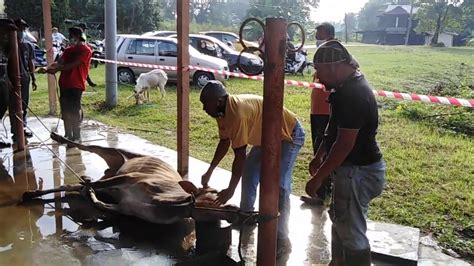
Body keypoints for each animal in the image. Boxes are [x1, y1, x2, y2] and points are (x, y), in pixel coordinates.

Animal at [23, 133, 252, 224]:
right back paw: (57, 137)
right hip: (117, 152)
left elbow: (95, 199)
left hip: (114, 168)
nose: (238, 210)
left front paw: (86, 190)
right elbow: (84, 185)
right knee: (86, 146)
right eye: (216, 194)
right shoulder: (130, 177)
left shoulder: (125, 207)